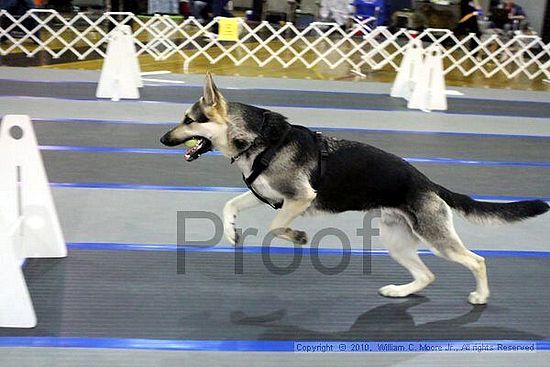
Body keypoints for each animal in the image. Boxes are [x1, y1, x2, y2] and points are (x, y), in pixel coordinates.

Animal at [161, 74, 550, 304]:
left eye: (188, 120)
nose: (162, 139)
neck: (259, 139)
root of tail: (427, 182)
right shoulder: (268, 194)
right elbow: (229, 205)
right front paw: (231, 232)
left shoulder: (299, 198)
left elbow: (276, 226)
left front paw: (296, 236)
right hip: (397, 242)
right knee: (427, 274)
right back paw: (400, 291)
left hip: (436, 239)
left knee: (477, 260)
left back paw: (480, 295)